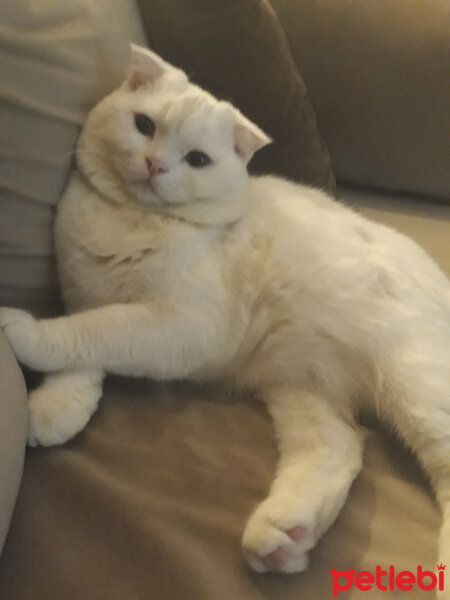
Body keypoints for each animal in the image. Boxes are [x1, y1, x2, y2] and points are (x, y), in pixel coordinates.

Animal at [0, 45, 450, 592]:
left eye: (197, 160)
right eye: (145, 126)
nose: (154, 163)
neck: (129, 223)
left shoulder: (178, 327)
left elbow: (90, 332)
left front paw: (20, 332)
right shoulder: (89, 294)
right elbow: (86, 348)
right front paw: (54, 408)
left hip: (415, 387)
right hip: (303, 390)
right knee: (338, 448)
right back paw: (282, 537)